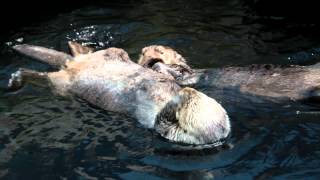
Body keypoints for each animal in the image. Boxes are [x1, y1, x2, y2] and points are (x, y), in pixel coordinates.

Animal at [7, 43, 230, 146]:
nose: (183, 94)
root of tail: (71, 64)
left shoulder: (171, 132)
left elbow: (163, 121)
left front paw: (179, 95)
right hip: (108, 54)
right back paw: (75, 46)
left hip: (60, 85)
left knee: (43, 77)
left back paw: (17, 78)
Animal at [138, 45, 320, 102]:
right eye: (142, 52)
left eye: (161, 51)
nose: (147, 53)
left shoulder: (189, 75)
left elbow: (182, 74)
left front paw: (158, 65)